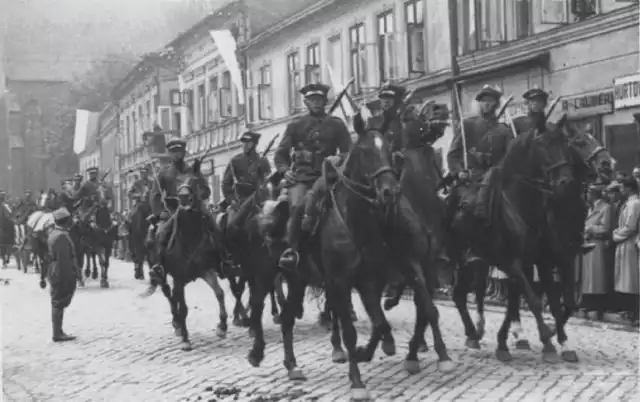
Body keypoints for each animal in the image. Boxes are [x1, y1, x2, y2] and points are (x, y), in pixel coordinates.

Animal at [144, 160, 229, 352]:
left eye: (195, 180)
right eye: (176, 182)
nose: (183, 198)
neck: (191, 236)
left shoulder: (207, 271)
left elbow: (219, 293)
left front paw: (222, 326)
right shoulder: (179, 278)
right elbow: (182, 307)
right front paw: (185, 338)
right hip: (161, 274)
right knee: (169, 295)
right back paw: (177, 323)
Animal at [450, 121, 576, 362]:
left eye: (565, 145)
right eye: (544, 146)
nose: (565, 182)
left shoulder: (536, 261)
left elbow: (525, 301)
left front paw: (506, 343)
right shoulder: (510, 262)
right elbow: (532, 300)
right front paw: (547, 340)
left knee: (464, 293)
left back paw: (474, 333)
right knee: (456, 293)